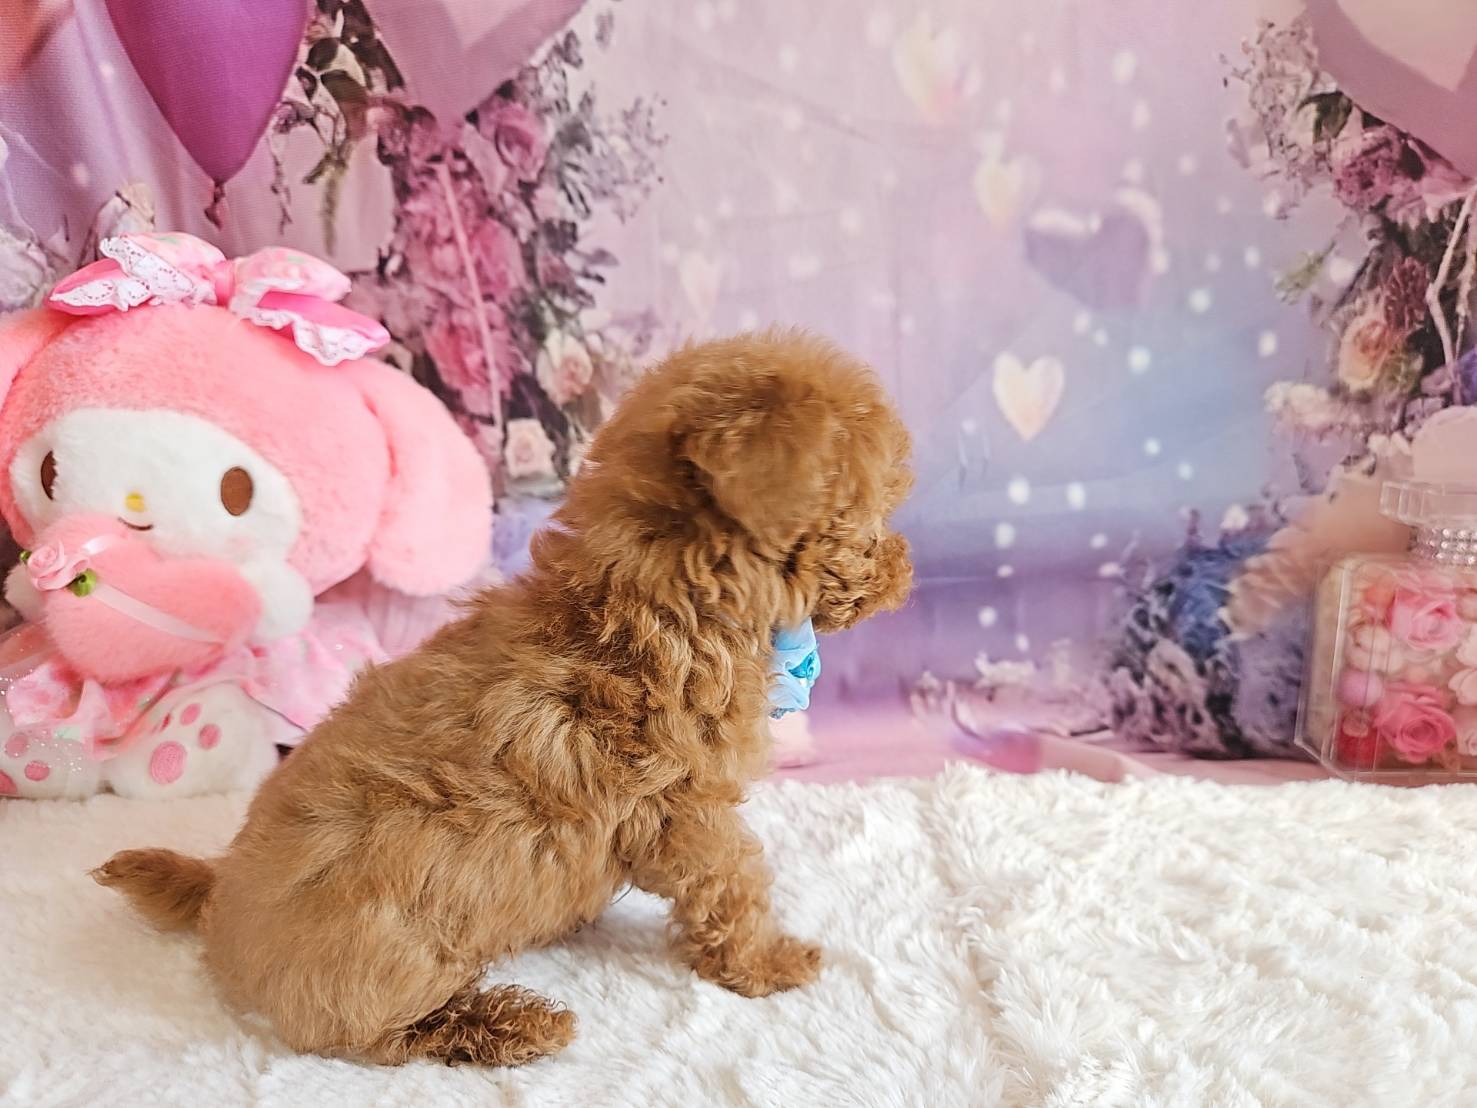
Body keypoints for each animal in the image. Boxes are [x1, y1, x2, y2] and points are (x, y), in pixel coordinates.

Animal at [95, 330, 914, 1066]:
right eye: (868, 517)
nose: (906, 567)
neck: (647, 602)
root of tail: (218, 903)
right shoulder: (687, 809)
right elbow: (732, 886)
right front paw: (770, 963)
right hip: (385, 963)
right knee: (384, 1035)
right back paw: (510, 1024)